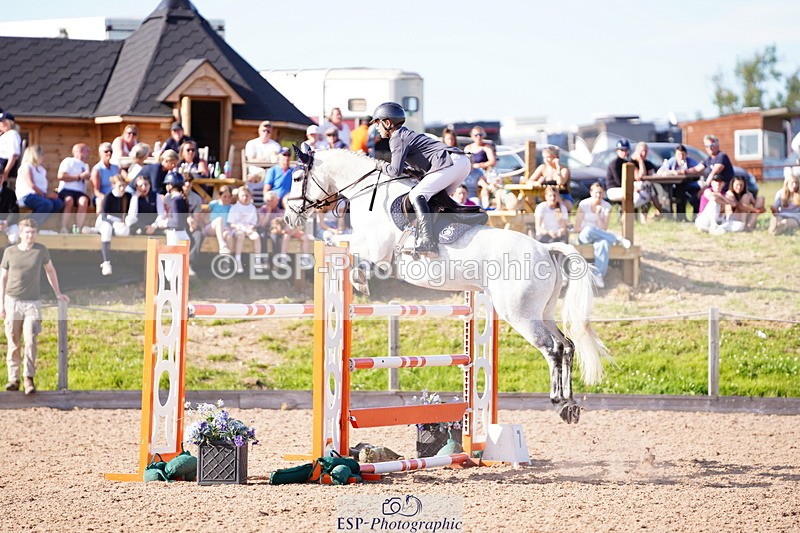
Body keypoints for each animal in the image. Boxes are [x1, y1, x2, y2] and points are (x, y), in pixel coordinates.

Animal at [284, 148, 608, 423]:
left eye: (297, 178)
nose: (289, 217)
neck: (370, 193)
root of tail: (546, 248)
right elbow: (341, 243)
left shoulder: (374, 250)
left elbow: (344, 245)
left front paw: (358, 280)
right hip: (544, 311)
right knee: (567, 345)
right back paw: (570, 404)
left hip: (520, 314)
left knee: (552, 348)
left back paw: (559, 401)